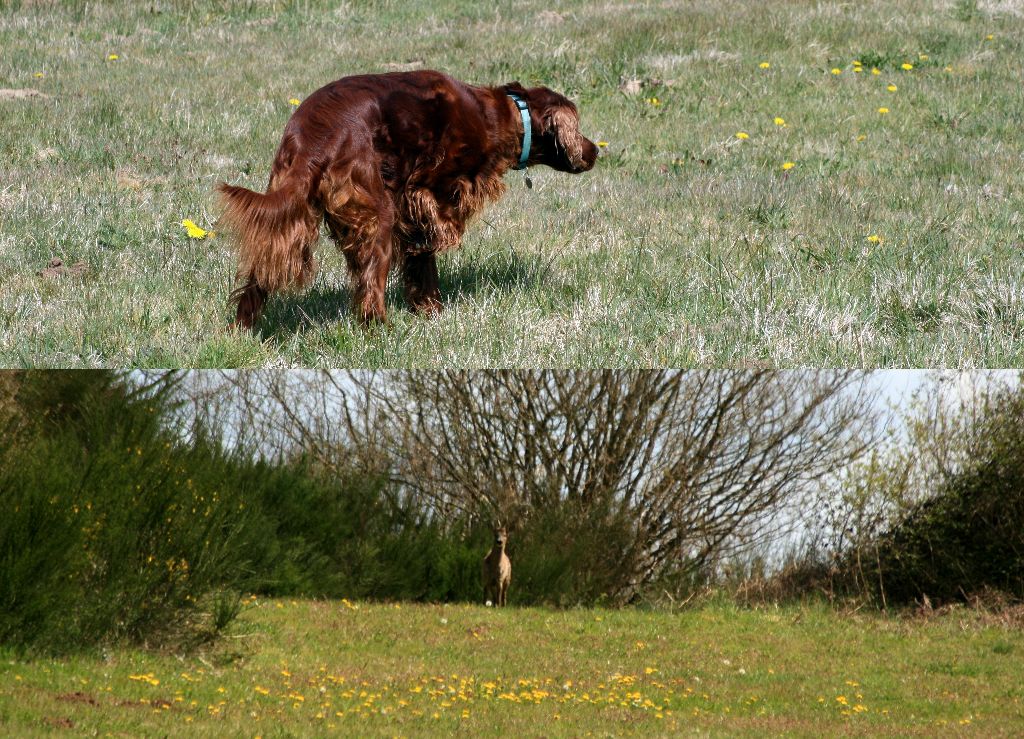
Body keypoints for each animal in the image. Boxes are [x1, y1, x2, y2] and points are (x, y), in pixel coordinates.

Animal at [218, 69, 598, 327]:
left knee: (263, 267)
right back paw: (378, 329)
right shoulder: (428, 193)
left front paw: (428, 311)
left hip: (287, 214)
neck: (497, 115)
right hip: (377, 216)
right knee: (370, 282)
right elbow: (425, 254)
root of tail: (313, 135)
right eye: (579, 129)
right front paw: (432, 308)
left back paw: (242, 329)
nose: (595, 151)